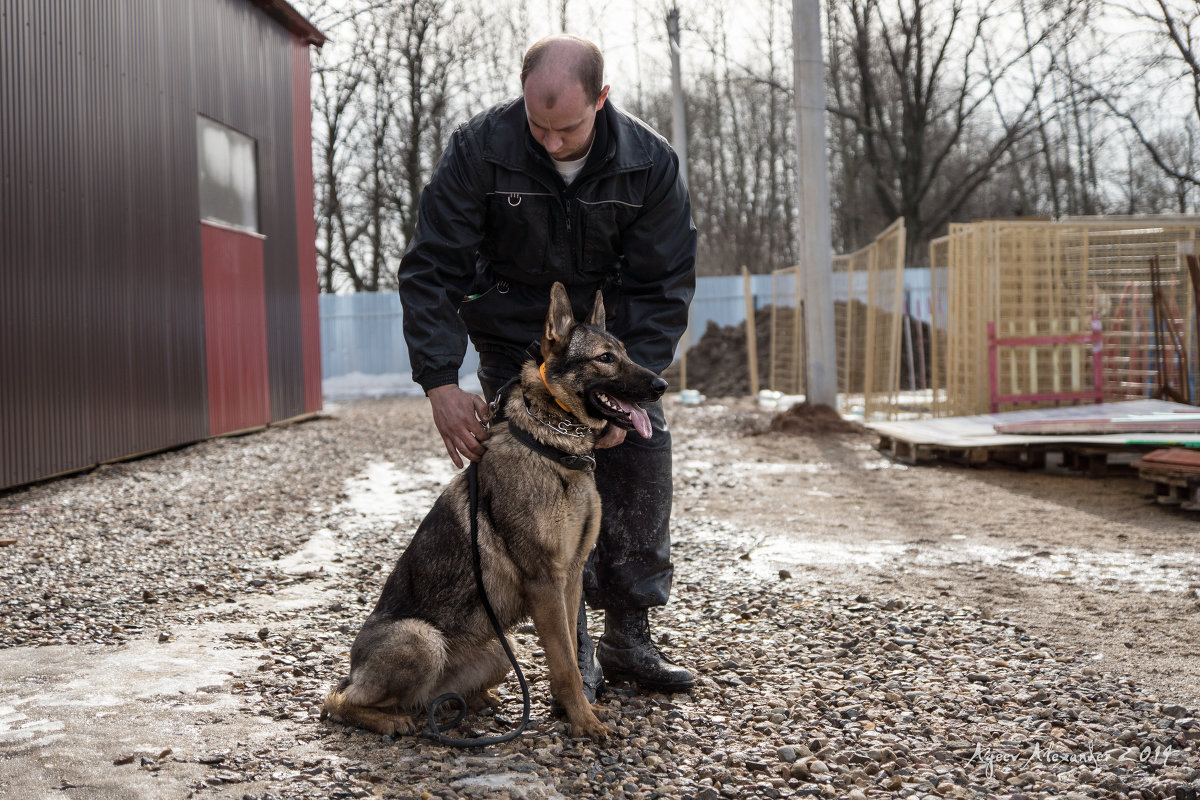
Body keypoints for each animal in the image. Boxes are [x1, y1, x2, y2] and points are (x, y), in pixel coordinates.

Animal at [324, 280, 672, 738]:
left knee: (435, 698)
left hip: (499, 654)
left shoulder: (570, 577)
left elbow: (571, 649)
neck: (553, 447)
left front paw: (581, 710)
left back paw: (475, 703)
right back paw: (393, 721)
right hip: (421, 639)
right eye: (605, 358)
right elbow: (564, 661)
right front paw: (583, 721)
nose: (662, 385)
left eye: (627, 352)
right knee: (340, 702)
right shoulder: (545, 581)